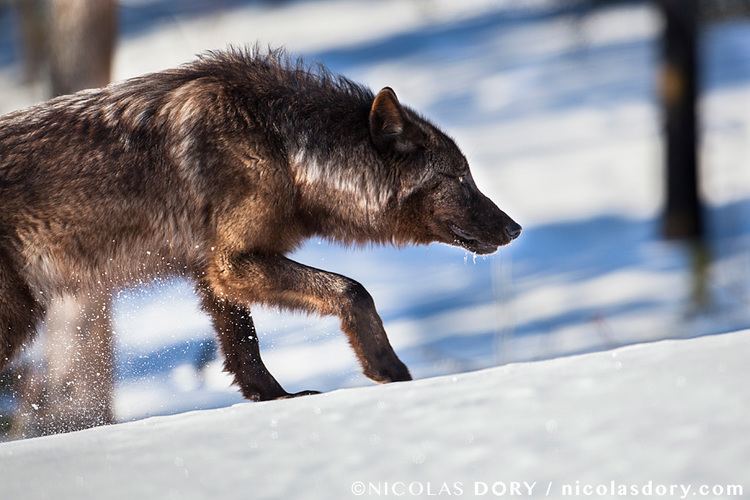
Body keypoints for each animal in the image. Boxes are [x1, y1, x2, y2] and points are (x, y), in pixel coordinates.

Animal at [0, 48, 524, 400]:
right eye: (458, 177)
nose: (515, 229)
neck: (282, 146)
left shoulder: (212, 273)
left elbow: (244, 349)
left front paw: (276, 399)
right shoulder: (233, 263)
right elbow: (353, 290)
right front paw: (390, 372)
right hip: (19, 316)